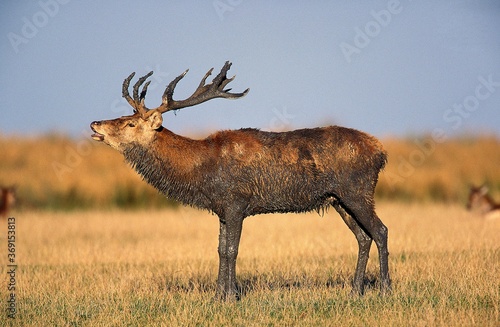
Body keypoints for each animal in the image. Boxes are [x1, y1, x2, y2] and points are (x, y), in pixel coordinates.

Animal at [92, 61, 392, 302]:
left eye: (130, 123)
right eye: (124, 117)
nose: (95, 123)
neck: (202, 172)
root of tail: (381, 152)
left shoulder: (237, 203)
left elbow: (232, 249)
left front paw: (230, 296)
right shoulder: (222, 209)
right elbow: (220, 249)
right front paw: (218, 295)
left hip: (357, 190)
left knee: (380, 230)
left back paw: (385, 289)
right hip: (339, 199)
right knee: (363, 237)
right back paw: (355, 290)